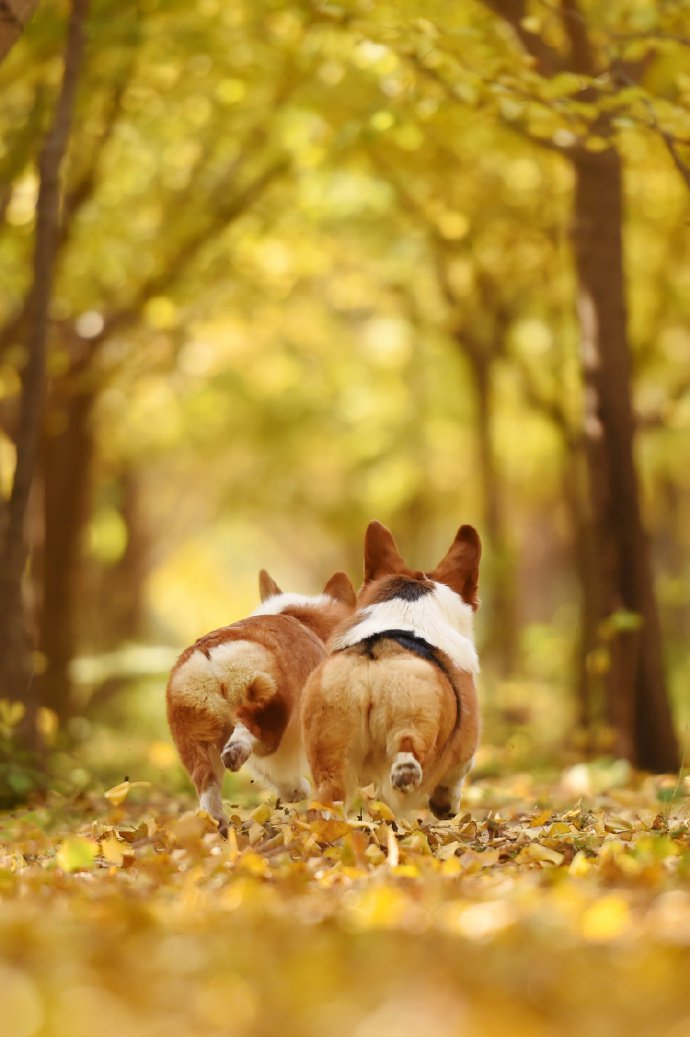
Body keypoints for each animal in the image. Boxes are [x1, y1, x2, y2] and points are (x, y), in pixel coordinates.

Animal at [163, 568, 352, 833]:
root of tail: (214, 651)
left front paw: (294, 792)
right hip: (271, 705)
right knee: (252, 736)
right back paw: (238, 754)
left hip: (193, 731)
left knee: (207, 781)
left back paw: (217, 823)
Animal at [298, 522, 481, 821]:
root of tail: (373, 658)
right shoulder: (466, 744)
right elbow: (456, 776)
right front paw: (446, 806)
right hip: (414, 712)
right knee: (408, 748)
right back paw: (407, 774)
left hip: (330, 754)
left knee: (328, 801)